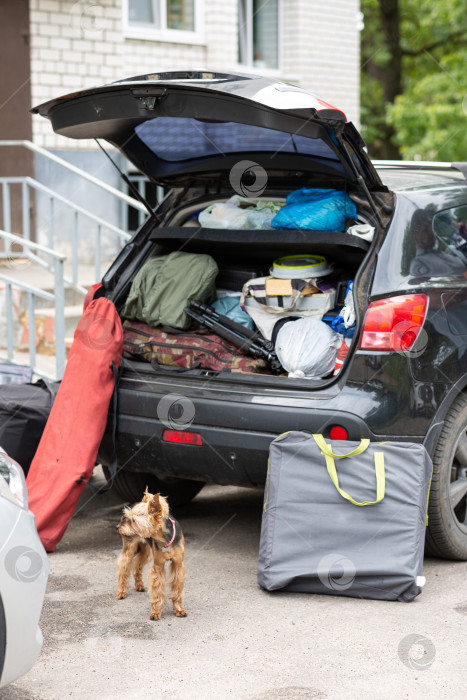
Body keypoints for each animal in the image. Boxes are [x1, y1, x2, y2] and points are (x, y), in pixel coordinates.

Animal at [116, 490, 187, 620]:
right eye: (125, 517)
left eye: (133, 520)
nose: (117, 527)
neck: (165, 539)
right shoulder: (158, 566)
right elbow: (157, 591)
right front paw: (156, 612)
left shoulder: (178, 565)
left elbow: (177, 589)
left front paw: (179, 609)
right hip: (129, 549)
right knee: (123, 569)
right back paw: (121, 591)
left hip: (145, 551)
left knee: (137, 565)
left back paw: (139, 585)